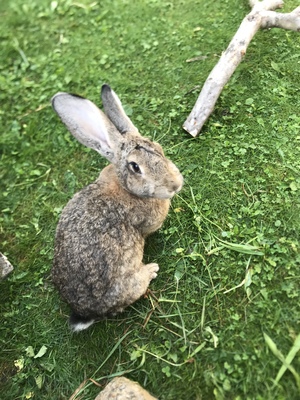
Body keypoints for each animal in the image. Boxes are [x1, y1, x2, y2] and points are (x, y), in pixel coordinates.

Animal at [51, 83, 183, 332]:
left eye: (158, 148)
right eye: (135, 167)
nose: (175, 184)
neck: (125, 187)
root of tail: (83, 312)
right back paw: (151, 270)